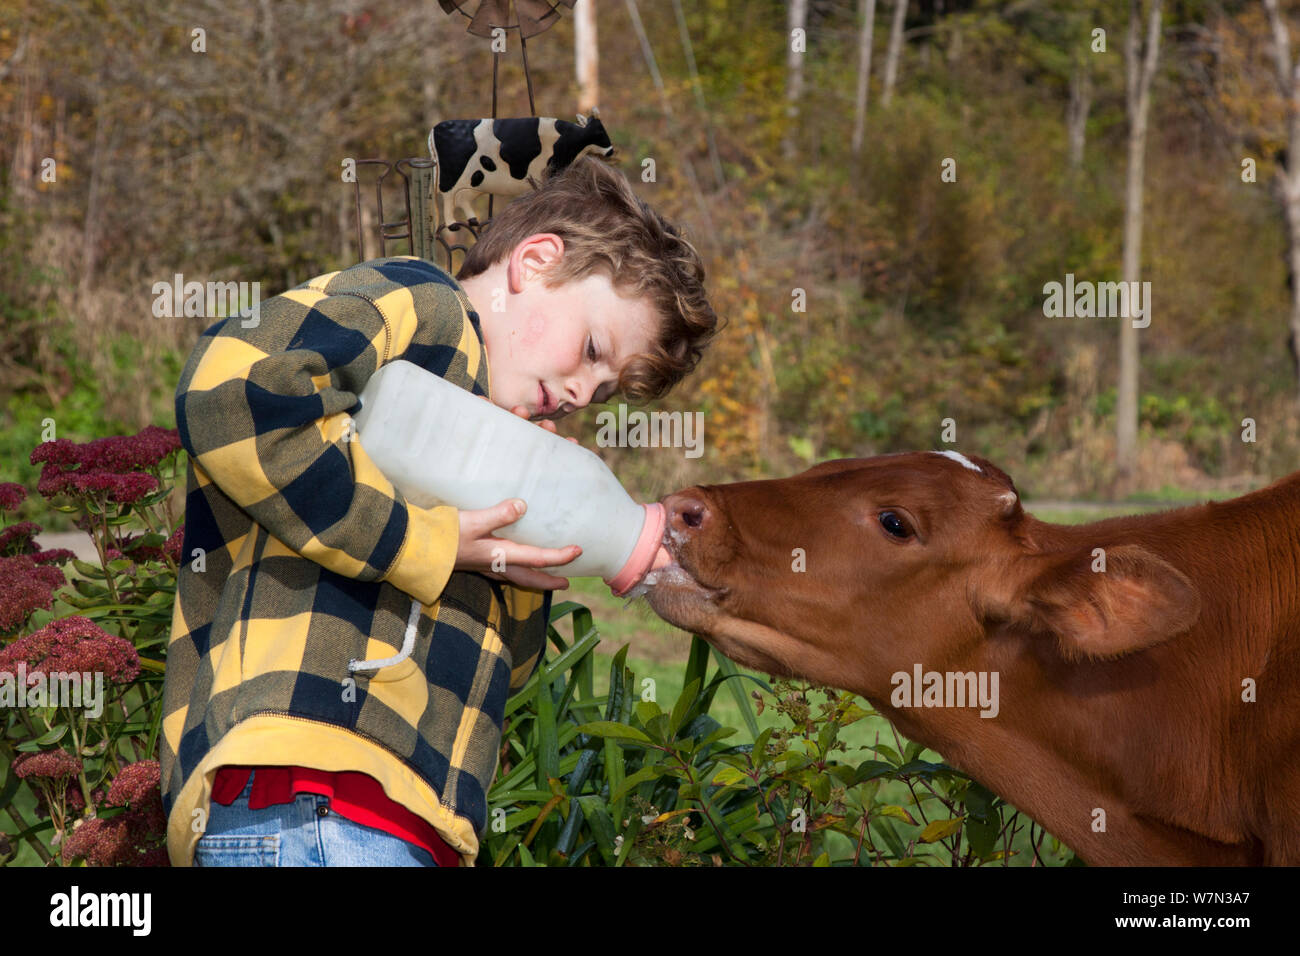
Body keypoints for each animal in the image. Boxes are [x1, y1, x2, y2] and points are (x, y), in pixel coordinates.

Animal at [427, 112, 615, 230]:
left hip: (475, 179)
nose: (611, 151)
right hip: (451, 175)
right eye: (600, 131)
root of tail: (435, 128)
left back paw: (473, 220)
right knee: (448, 196)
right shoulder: (551, 171)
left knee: (462, 198)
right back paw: (452, 224)